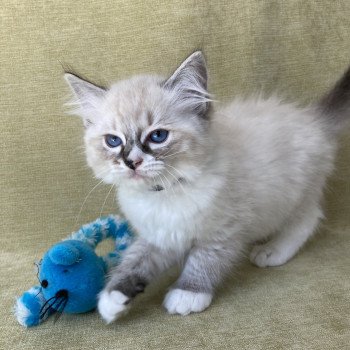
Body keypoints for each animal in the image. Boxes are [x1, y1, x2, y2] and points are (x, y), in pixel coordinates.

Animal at [64, 51, 348, 322]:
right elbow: (135, 261)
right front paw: (112, 297)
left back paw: (272, 251)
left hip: (293, 196)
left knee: (308, 219)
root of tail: (312, 118)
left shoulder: (223, 231)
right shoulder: (161, 235)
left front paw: (187, 293)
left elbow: (204, 260)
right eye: (113, 141)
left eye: (158, 136)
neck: (163, 194)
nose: (131, 162)